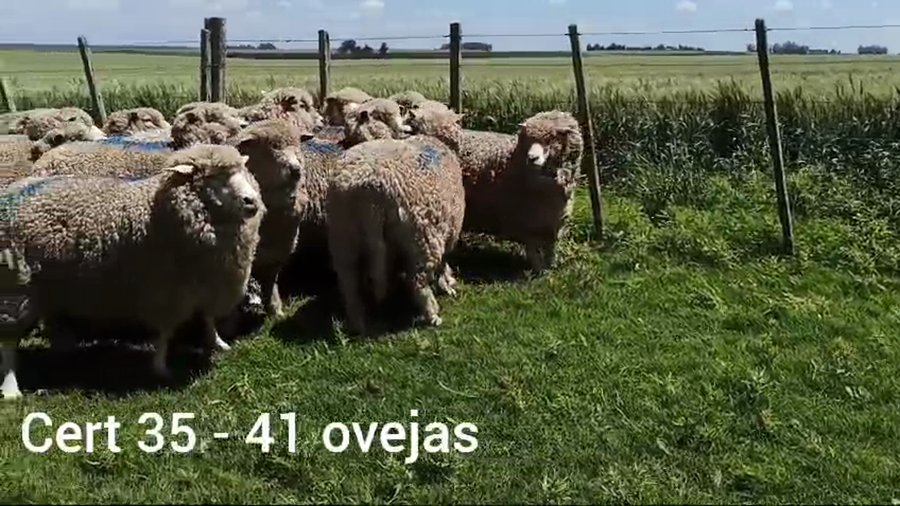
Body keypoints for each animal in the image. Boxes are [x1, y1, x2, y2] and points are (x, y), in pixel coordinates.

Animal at [0, 144, 266, 399]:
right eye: (214, 177)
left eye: (240, 171)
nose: (252, 201)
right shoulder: (166, 289)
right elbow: (166, 332)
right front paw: (160, 368)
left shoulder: (206, 282)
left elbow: (208, 317)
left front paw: (218, 343)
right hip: (15, 287)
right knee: (8, 342)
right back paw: (11, 388)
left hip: (46, 284)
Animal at [324, 105, 466, 334]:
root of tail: (367, 192)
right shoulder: (447, 227)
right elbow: (444, 261)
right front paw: (448, 283)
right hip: (421, 237)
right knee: (417, 281)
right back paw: (432, 314)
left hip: (343, 235)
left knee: (349, 283)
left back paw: (358, 323)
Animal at [456, 110, 584, 273]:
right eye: (528, 139)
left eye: (551, 139)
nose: (532, 158)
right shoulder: (526, 221)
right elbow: (532, 250)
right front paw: (538, 270)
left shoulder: (553, 222)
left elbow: (551, 249)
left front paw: (551, 268)